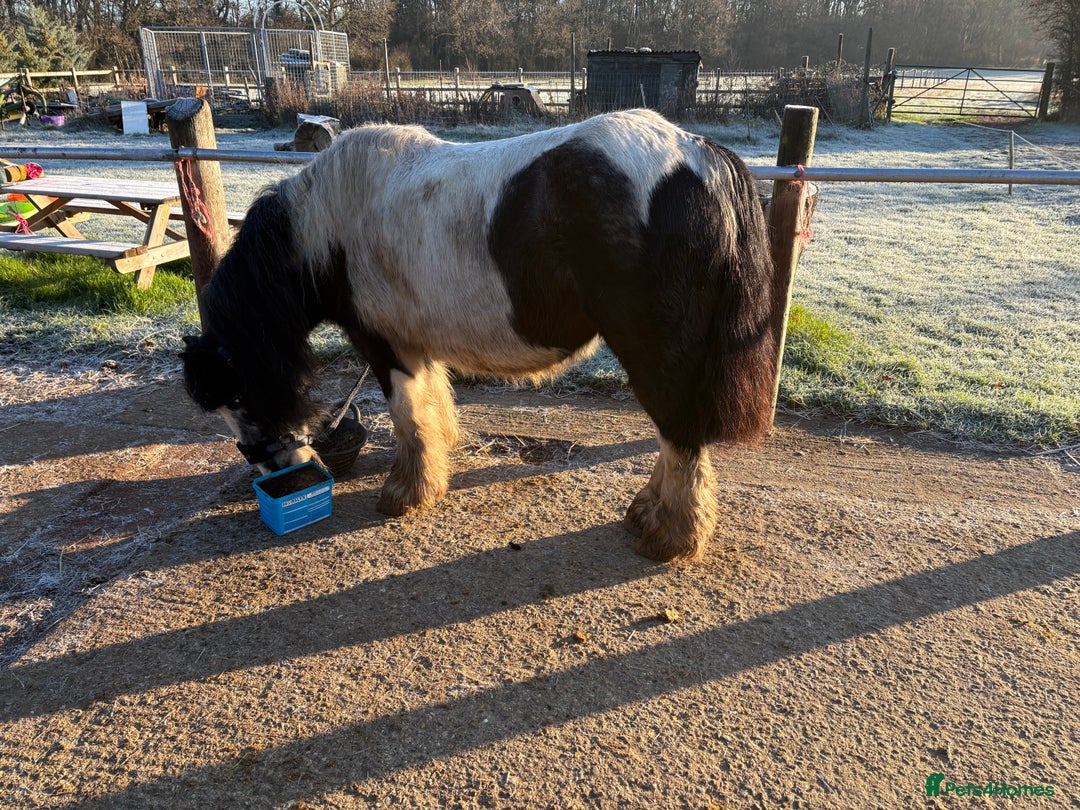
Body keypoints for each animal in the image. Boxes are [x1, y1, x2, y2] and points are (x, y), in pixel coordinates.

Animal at [180, 109, 779, 563]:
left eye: (237, 395)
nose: (275, 470)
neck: (327, 223)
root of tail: (699, 154)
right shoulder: (415, 341)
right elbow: (431, 401)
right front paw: (438, 461)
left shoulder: (383, 345)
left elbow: (405, 413)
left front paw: (405, 493)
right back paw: (648, 513)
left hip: (655, 351)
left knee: (680, 433)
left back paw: (670, 536)